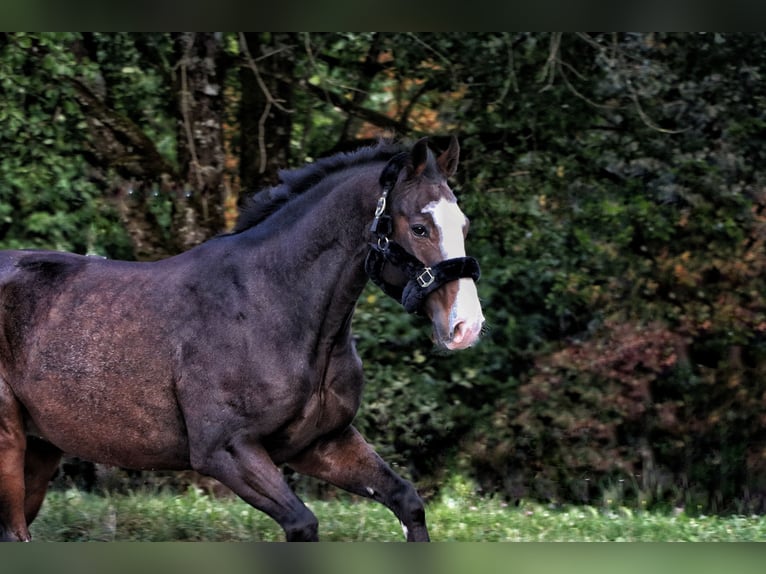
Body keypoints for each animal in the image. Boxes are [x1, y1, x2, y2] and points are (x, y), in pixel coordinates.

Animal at [0, 136, 484, 541]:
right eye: (419, 227)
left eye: (463, 225)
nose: (467, 326)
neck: (270, 305)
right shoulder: (226, 451)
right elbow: (303, 524)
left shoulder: (322, 443)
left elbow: (407, 501)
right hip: (10, 440)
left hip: (42, 449)